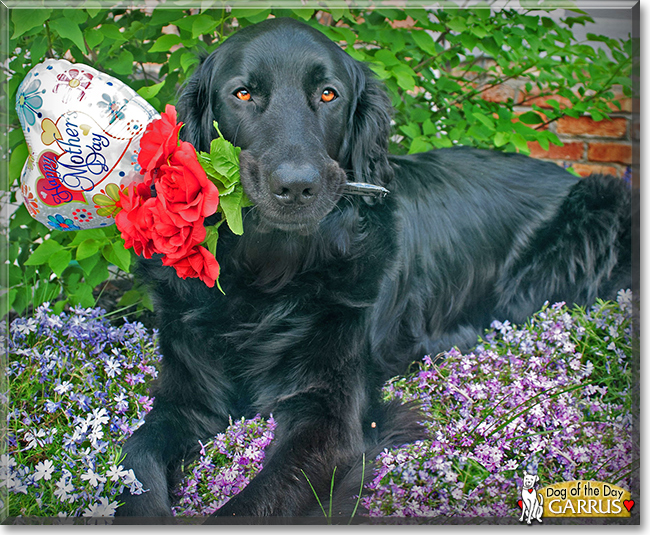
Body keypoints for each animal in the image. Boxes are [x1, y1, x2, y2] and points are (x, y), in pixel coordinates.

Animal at [116, 16, 628, 520]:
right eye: (242, 93)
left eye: (329, 94)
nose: (297, 186)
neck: (271, 277)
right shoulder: (188, 396)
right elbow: (135, 456)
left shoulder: (328, 420)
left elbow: (246, 508)